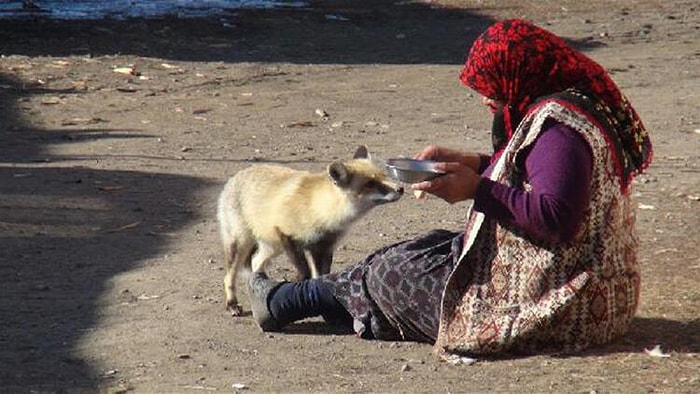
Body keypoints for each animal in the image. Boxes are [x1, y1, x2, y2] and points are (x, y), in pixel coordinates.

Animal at [219, 146, 404, 316]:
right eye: (370, 184)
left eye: (384, 175)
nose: (401, 189)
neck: (318, 210)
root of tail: (235, 177)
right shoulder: (288, 237)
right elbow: (305, 272)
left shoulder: (323, 247)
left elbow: (320, 276)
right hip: (242, 244)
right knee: (229, 276)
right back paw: (232, 303)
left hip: (273, 247)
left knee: (256, 262)